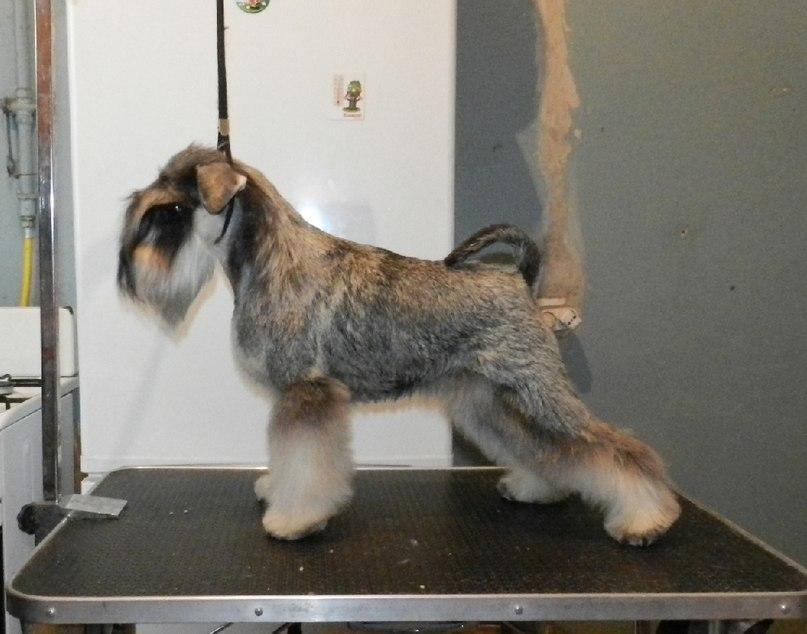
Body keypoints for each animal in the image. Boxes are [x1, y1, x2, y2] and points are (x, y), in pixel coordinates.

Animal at [118, 145, 680, 545]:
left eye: (171, 209)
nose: (128, 272)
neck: (272, 260)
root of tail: (519, 281)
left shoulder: (306, 395)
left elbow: (304, 464)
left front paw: (293, 519)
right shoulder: (294, 400)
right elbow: (284, 458)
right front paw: (274, 491)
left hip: (537, 393)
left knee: (612, 449)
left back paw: (646, 517)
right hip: (491, 400)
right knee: (538, 449)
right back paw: (534, 488)